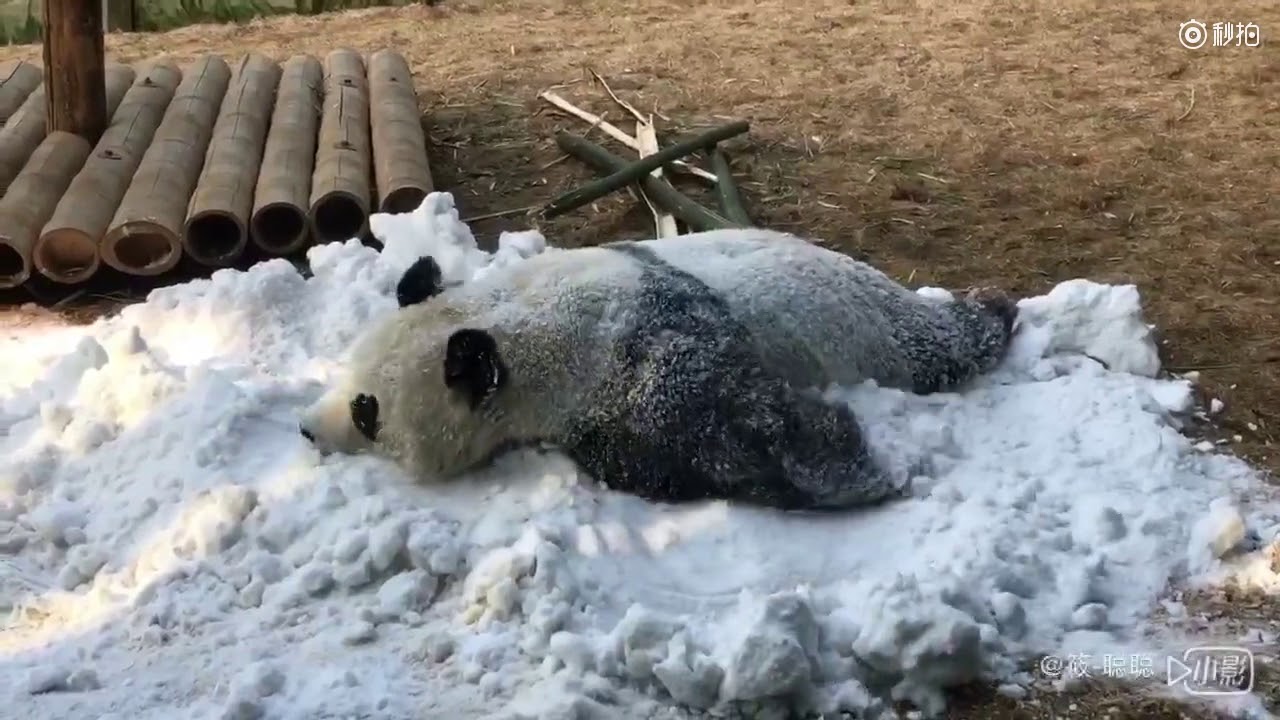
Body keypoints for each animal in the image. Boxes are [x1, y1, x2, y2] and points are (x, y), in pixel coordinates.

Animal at [299, 228, 1017, 511]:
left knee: (933, 342)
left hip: (868, 324)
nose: (306, 429)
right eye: (347, 380)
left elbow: (715, 437)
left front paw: (856, 468)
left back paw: (995, 311)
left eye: (367, 411)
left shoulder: (628, 350)